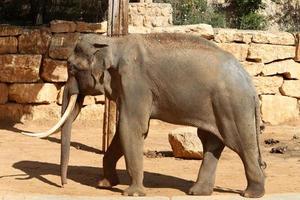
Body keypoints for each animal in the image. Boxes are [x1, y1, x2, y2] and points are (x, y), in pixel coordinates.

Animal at [24, 32, 268, 197]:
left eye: (71, 68)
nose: (63, 185)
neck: (114, 42)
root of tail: (250, 83)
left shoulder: (135, 83)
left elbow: (130, 128)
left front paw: (131, 193)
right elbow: (123, 132)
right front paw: (105, 184)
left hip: (232, 104)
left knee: (240, 143)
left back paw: (251, 193)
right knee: (211, 140)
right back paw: (197, 192)